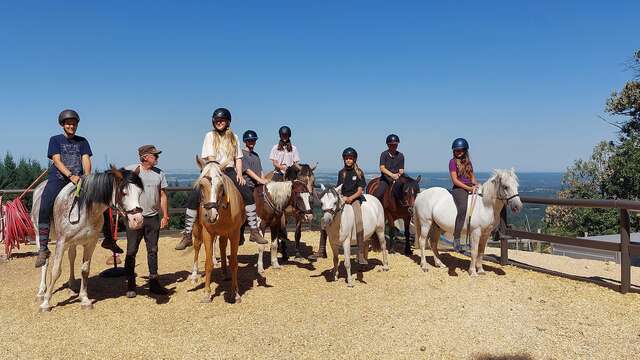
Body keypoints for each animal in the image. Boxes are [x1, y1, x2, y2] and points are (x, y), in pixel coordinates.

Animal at [31, 167, 144, 310]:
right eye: (123, 193)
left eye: (140, 192)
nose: (138, 220)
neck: (83, 209)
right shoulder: (61, 242)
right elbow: (56, 271)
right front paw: (46, 303)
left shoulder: (91, 243)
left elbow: (85, 270)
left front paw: (84, 299)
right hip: (38, 235)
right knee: (44, 261)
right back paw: (41, 292)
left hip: (73, 242)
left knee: (71, 257)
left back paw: (72, 286)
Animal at [191, 159, 244, 302]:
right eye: (201, 185)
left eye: (221, 185)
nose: (211, 215)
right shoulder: (208, 233)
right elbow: (208, 263)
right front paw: (207, 293)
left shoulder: (235, 233)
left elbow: (234, 262)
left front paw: (235, 292)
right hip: (197, 229)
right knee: (196, 246)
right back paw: (194, 275)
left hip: (224, 234)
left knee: (222, 246)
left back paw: (225, 273)